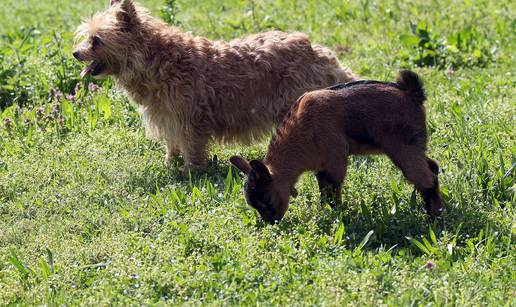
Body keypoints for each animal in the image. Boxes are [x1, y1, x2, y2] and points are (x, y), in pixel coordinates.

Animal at [73, 0, 354, 168]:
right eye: (87, 38)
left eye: (96, 40)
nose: (76, 53)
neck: (157, 59)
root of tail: (318, 52)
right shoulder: (168, 117)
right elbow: (172, 145)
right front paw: (170, 163)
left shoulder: (190, 121)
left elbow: (192, 149)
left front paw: (190, 171)